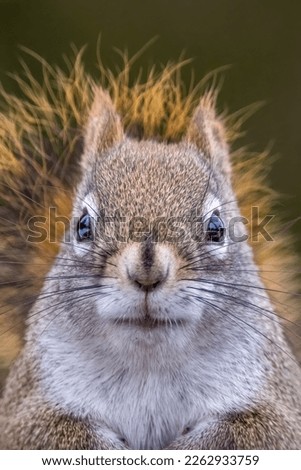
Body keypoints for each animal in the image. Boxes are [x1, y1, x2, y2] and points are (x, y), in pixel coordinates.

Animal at [0, 49, 300, 450]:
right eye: (83, 225)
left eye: (217, 229)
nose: (147, 272)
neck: (149, 363)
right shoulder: (27, 408)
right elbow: (53, 432)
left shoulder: (279, 404)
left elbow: (250, 431)